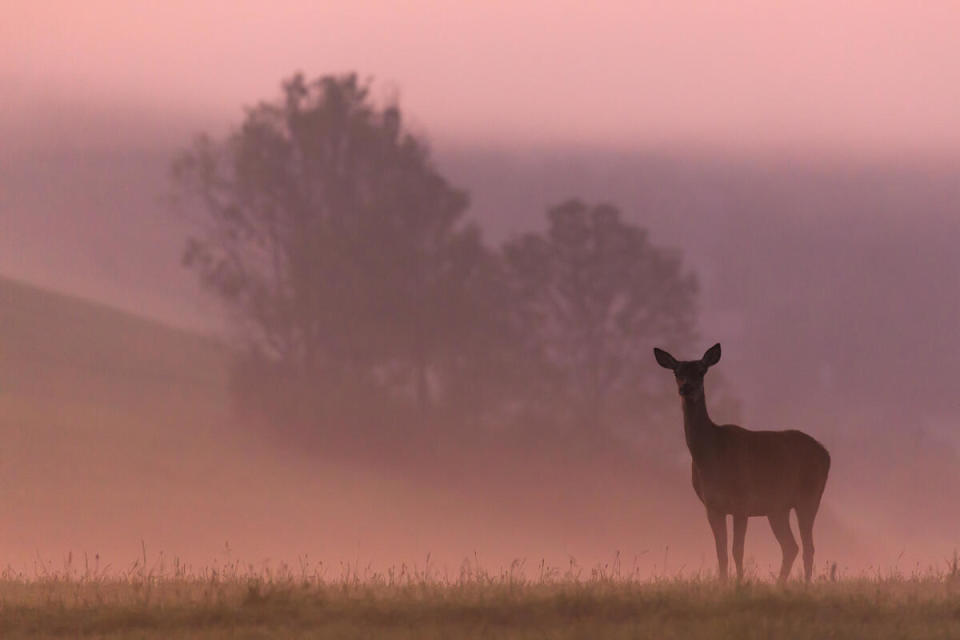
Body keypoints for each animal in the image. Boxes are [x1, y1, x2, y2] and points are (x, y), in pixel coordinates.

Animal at [652, 344, 832, 584]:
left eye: (701, 371)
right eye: (676, 372)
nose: (686, 388)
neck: (711, 457)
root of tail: (826, 454)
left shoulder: (742, 502)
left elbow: (737, 550)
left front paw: (739, 584)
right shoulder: (712, 506)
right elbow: (721, 551)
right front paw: (723, 584)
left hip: (809, 496)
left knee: (808, 547)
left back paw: (805, 585)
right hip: (777, 508)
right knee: (791, 546)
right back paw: (779, 585)